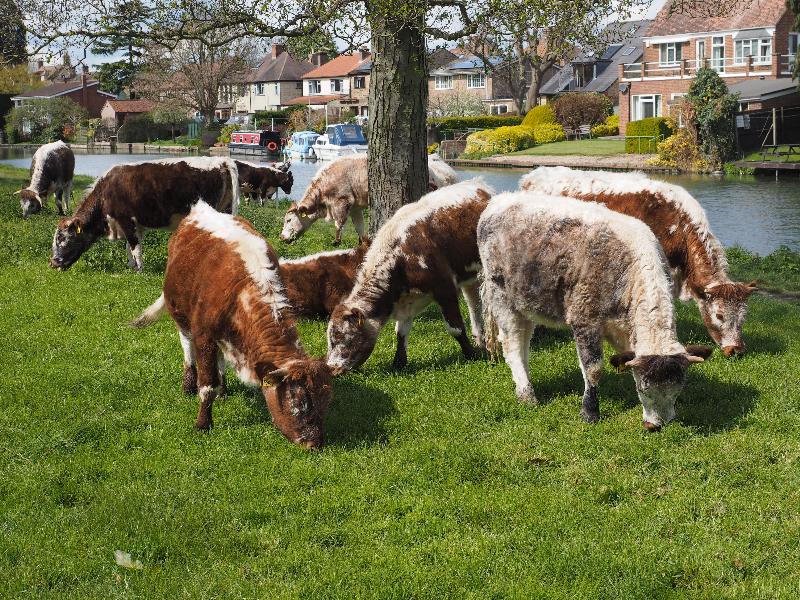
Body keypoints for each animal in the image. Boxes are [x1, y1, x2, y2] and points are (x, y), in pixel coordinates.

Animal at [49, 157, 240, 272]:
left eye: (61, 238)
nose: (53, 262)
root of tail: (220, 160)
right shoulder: (135, 225)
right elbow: (129, 247)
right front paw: (131, 266)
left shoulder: (126, 220)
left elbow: (135, 247)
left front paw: (140, 269)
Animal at [131, 201, 333, 449]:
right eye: (298, 402)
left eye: (326, 402)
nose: (315, 443)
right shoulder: (204, 337)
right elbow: (206, 385)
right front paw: (203, 423)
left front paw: (220, 390)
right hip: (179, 312)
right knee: (186, 344)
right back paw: (188, 383)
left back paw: (224, 388)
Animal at [279, 155, 461, 245]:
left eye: (288, 220)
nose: (281, 238)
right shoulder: (355, 208)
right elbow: (359, 227)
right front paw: (363, 243)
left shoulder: (342, 202)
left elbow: (339, 224)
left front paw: (336, 242)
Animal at [326, 179, 493, 373]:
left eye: (342, 336)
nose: (331, 369)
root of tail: (477, 182)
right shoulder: (406, 301)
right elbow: (401, 332)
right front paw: (399, 362)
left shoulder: (445, 289)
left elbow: (455, 328)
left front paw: (470, 354)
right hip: (468, 276)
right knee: (474, 304)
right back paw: (479, 339)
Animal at [478, 191, 712, 431]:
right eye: (643, 389)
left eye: (677, 391)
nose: (657, 425)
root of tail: (500, 200)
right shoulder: (584, 319)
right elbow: (594, 369)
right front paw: (590, 412)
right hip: (502, 297)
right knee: (512, 344)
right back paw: (526, 393)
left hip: (525, 302)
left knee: (524, 342)